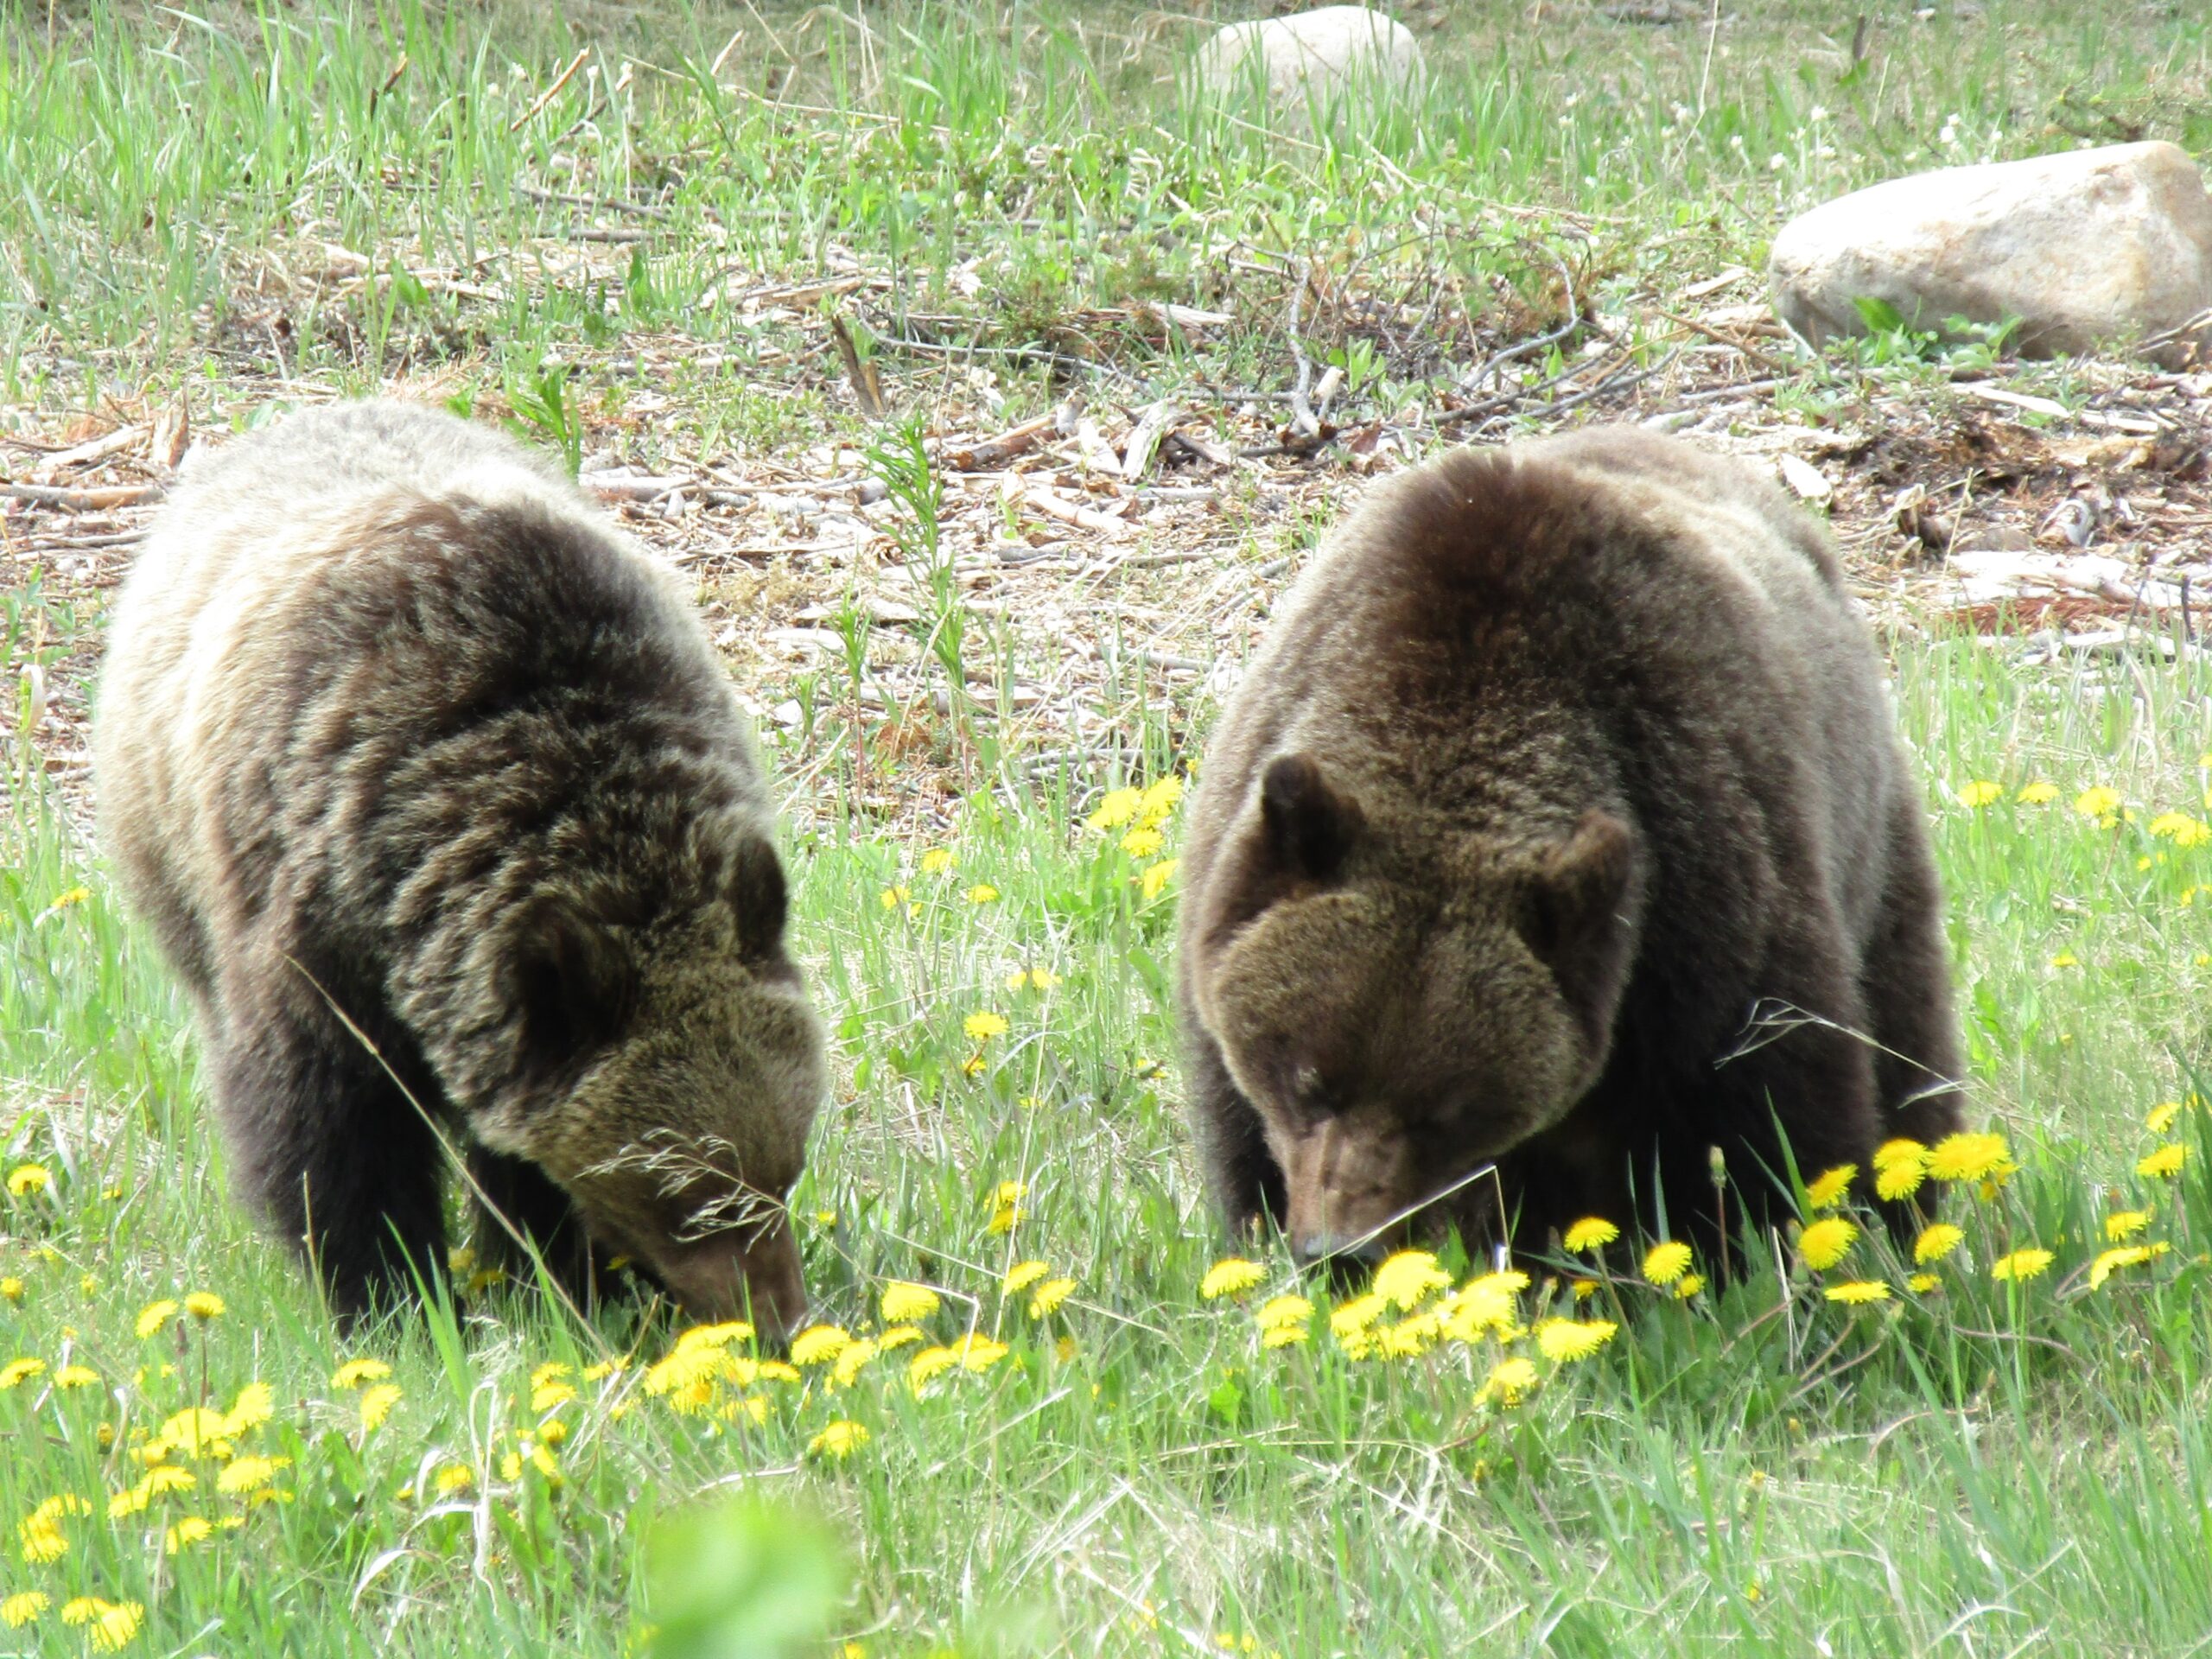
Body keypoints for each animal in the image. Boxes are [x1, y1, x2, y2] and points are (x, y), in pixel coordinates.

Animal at [90, 402, 827, 1336]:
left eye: (784, 1170)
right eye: (684, 1198)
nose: (782, 1322)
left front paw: (550, 1274)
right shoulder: (316, 926)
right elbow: (333, 1140)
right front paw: (394, 1299)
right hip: (173, 865)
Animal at [1185, 429, 1964, 1274]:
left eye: (1443, 1111)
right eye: (1308, 1079)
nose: (1341, 1248)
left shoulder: (1704, 893)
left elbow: (1784, 1110)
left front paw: (1800, 1247)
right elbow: (1238, 1136)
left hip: (1868, 829)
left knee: (1902, 1027)